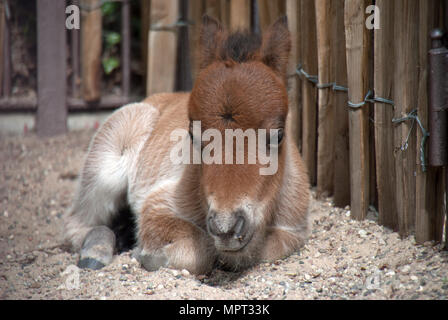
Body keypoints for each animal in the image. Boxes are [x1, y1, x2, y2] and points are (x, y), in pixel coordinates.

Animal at [63, 15, 310, 276]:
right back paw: (95, 253)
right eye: (193, 135)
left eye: (278, 135)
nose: (226, 227)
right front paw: (145, 253)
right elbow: (200, 249)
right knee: (78, 221)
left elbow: (266, 248)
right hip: (105, 168)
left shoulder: (295, 229)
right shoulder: (158, 203)